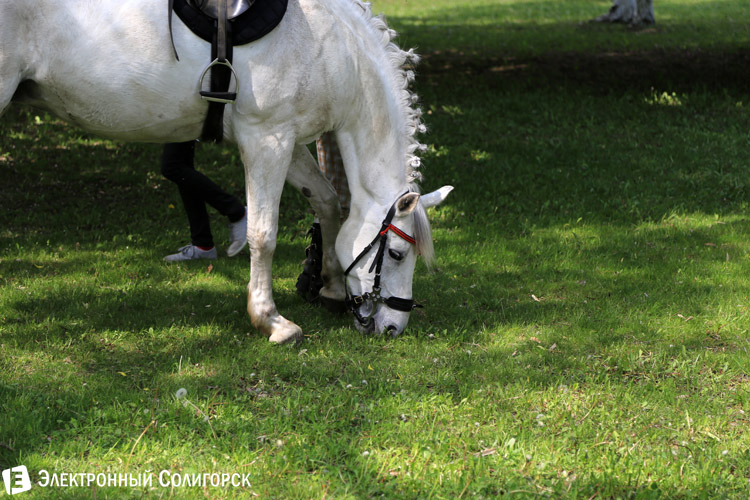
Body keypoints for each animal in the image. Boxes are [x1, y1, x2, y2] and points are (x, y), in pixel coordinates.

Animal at [0, 0, 452, 343]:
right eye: (396, 254)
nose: (393, 327)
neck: (331, 46)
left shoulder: (287, 140)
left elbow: (327, 203)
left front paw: (329, 286)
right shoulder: (267, 140)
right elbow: (263, 234)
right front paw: (271, 320)